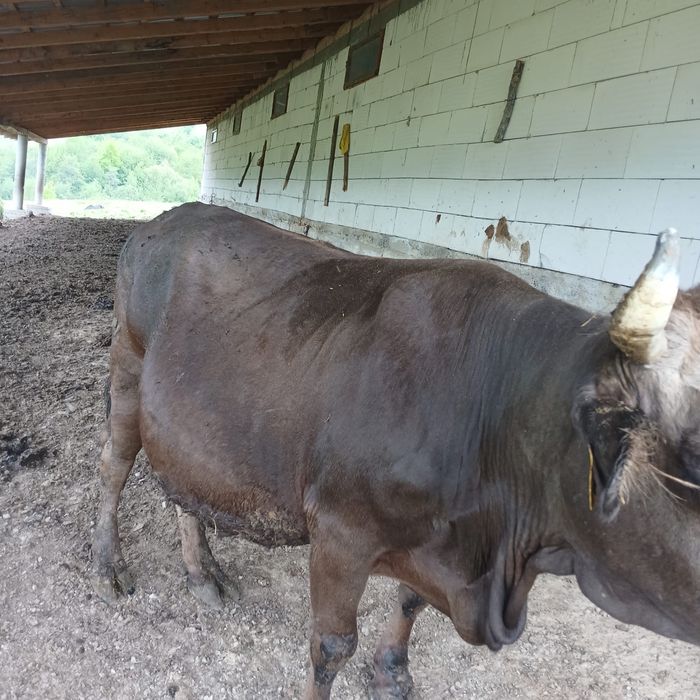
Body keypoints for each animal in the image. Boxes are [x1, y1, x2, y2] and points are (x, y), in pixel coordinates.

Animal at [91, 202, 700, 699]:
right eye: (691, 461)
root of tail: (162, 220)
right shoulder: (340, 529)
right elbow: (332, 645)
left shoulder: (439, 542)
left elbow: (410, 601)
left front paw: (393, 672)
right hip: (128, 365)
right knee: (114, 467)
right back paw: (108, 565)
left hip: (183, 419)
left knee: (180, 485)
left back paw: (202, 574)